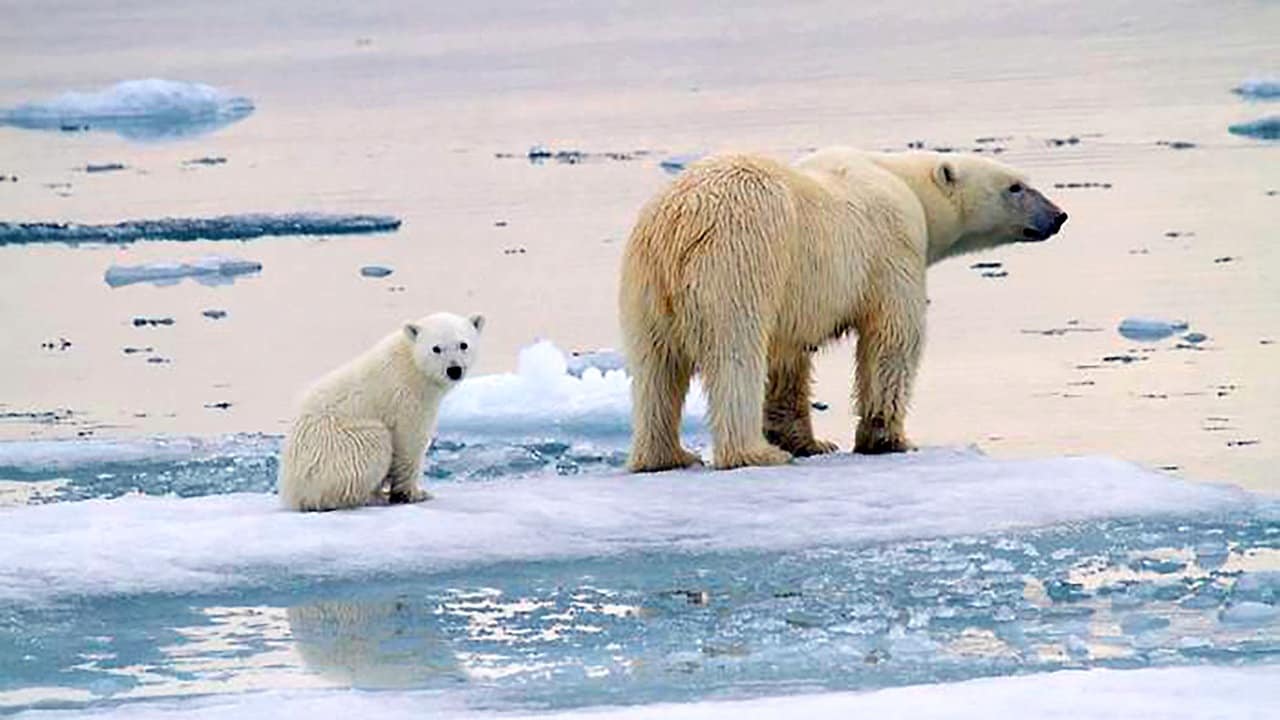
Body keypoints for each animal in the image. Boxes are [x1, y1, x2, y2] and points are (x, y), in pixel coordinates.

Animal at [622, 147, 1070, 471]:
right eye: (1015, 186)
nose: (1059, 215)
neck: (905, 184)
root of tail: (677, 225)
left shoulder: (796, 295)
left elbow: (788, 358)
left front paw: (808, 441)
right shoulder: (893, 249)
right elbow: (892, 339)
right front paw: (887, 439)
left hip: (645, 286)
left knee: (655, 370)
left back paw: (667, 456)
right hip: (739, 261)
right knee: (735, 355)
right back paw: (754, 453)